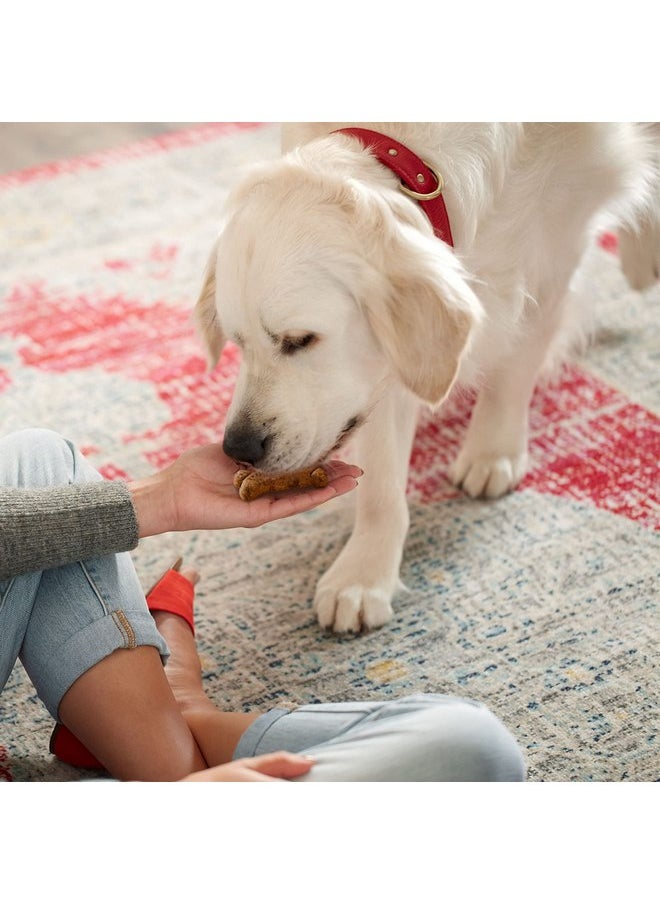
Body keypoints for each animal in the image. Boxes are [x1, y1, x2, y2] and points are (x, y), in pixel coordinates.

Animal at [196, 120, 660, 632]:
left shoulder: (555, 245)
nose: (238, 448)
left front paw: (492, 451)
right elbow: (380, 480)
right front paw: (365, 572)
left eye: (301, 340)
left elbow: (515, 365)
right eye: (236, 342)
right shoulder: (381, 370)